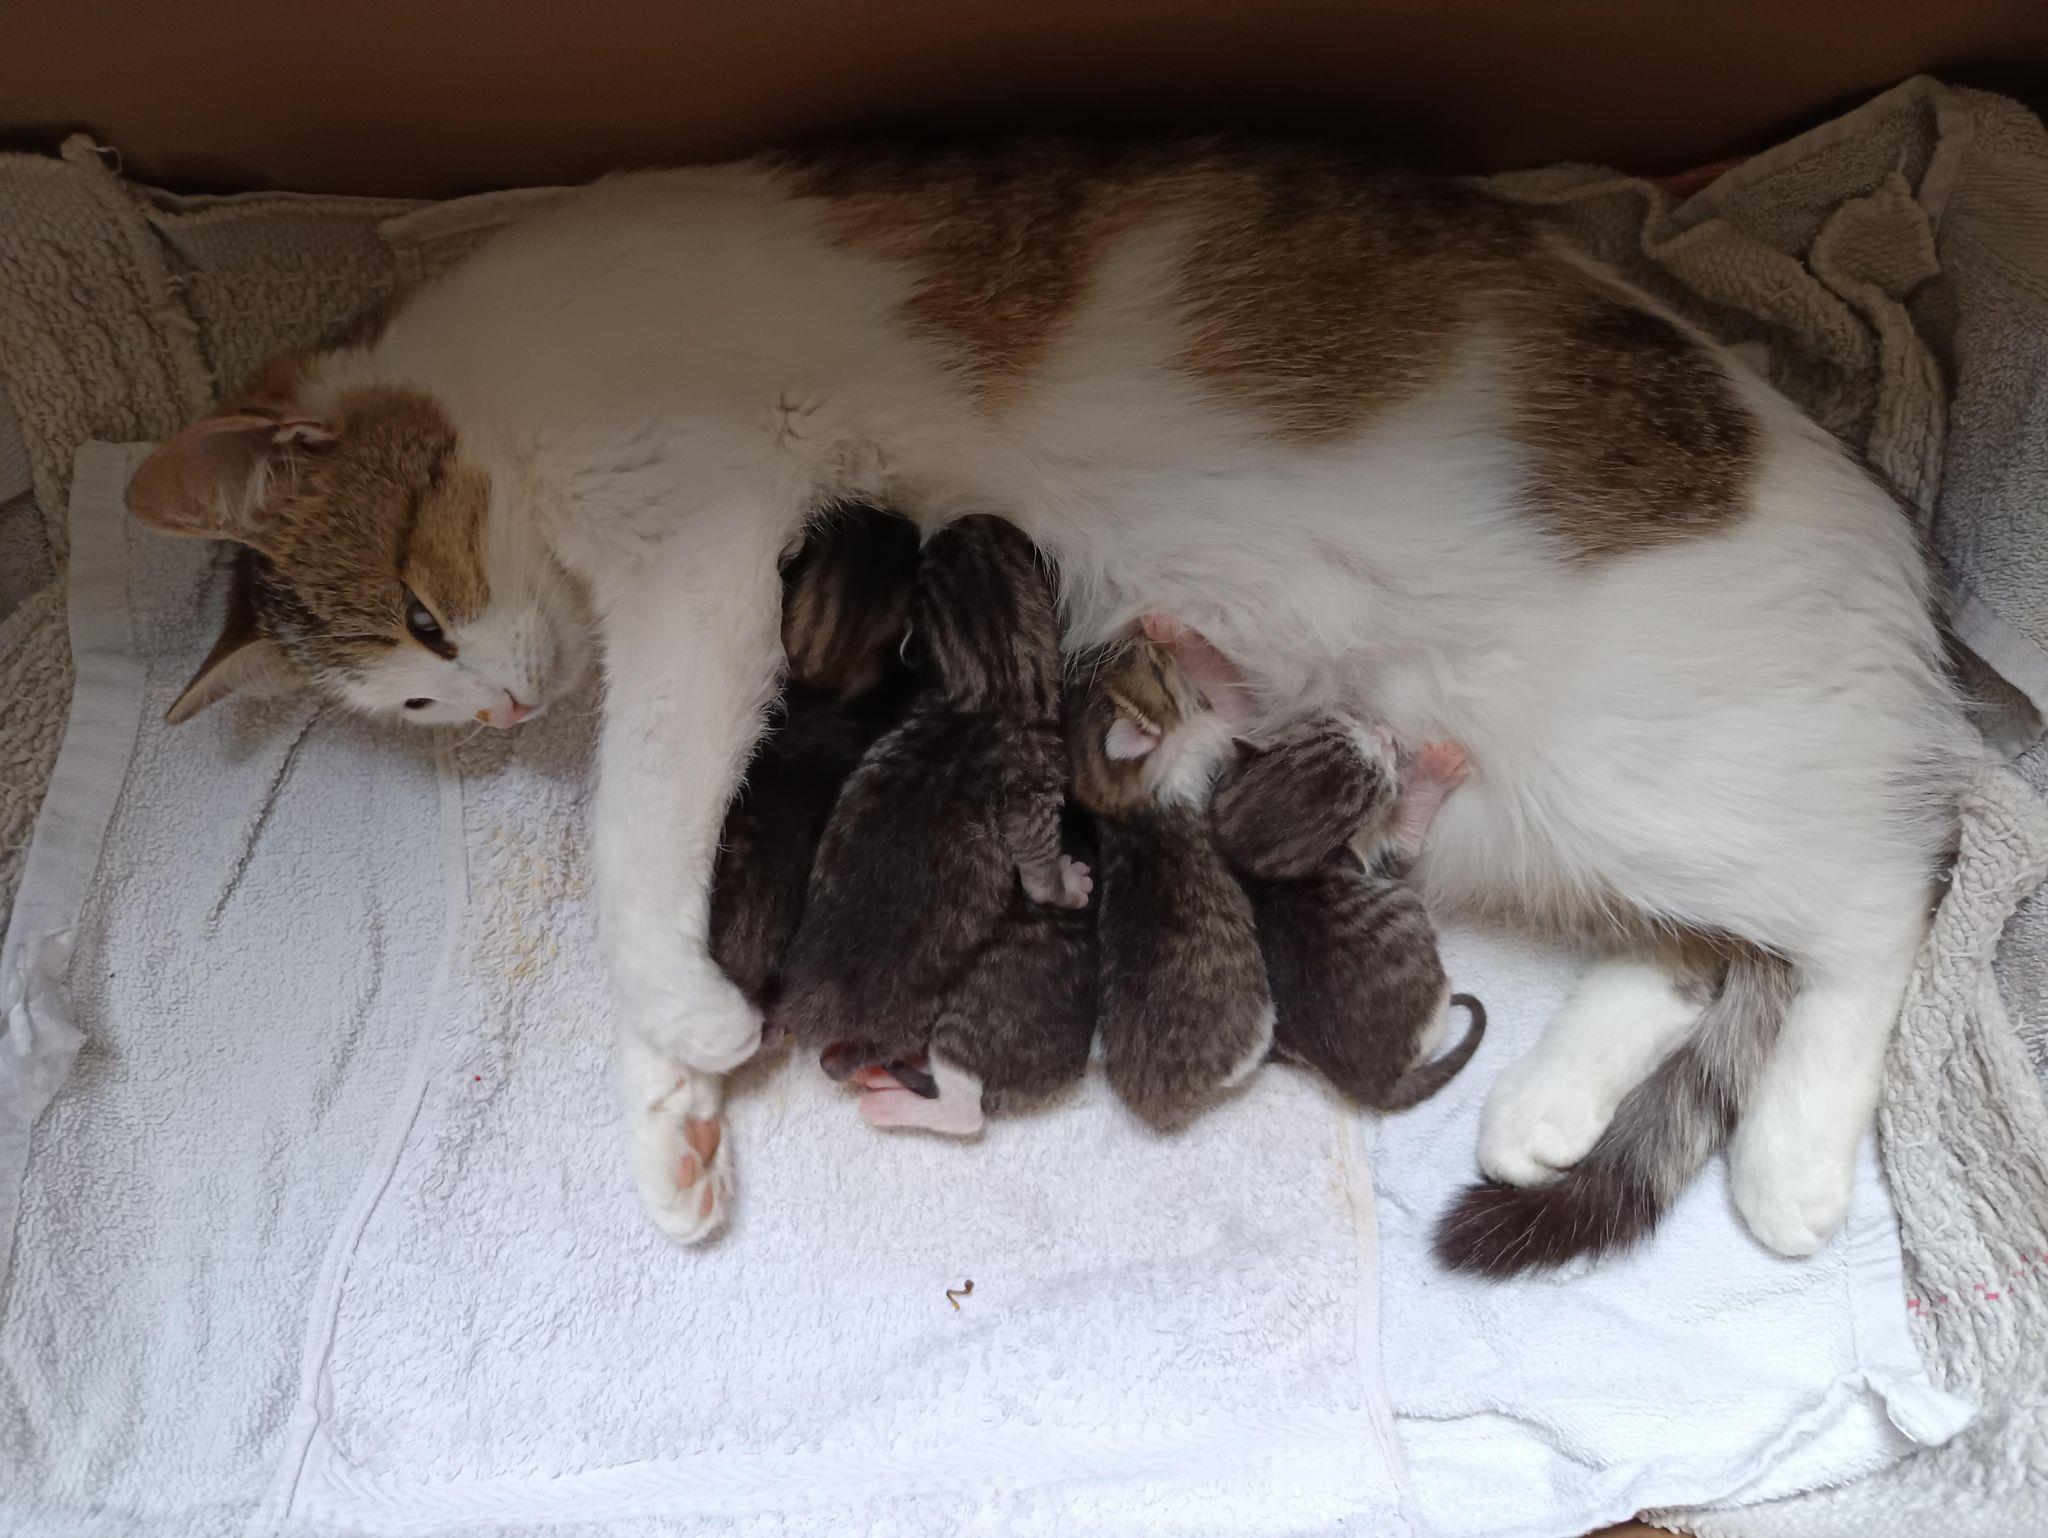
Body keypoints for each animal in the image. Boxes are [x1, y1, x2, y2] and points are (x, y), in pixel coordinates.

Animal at [775, 514, 1094, 1134]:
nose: (962, 518)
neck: (989, 687)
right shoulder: (1036, 787)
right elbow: (1039, 874)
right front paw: (1069, 885)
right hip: (917, 1014)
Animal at [1068, 631, 1274, 1129]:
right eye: (1160, 671)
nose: (1139, 636)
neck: (1121, 809)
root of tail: (1154, 1098)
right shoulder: (1213, 736)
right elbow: (1231, 708)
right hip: (1260, 1027)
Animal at [1209, 721, 1487, 1112]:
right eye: (1384, 787)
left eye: (1331, 729)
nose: (1385, 736)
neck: (1257, 865)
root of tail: (1371, 1083)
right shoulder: (1381, 863)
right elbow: (1406, 837)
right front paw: (1435, 770)